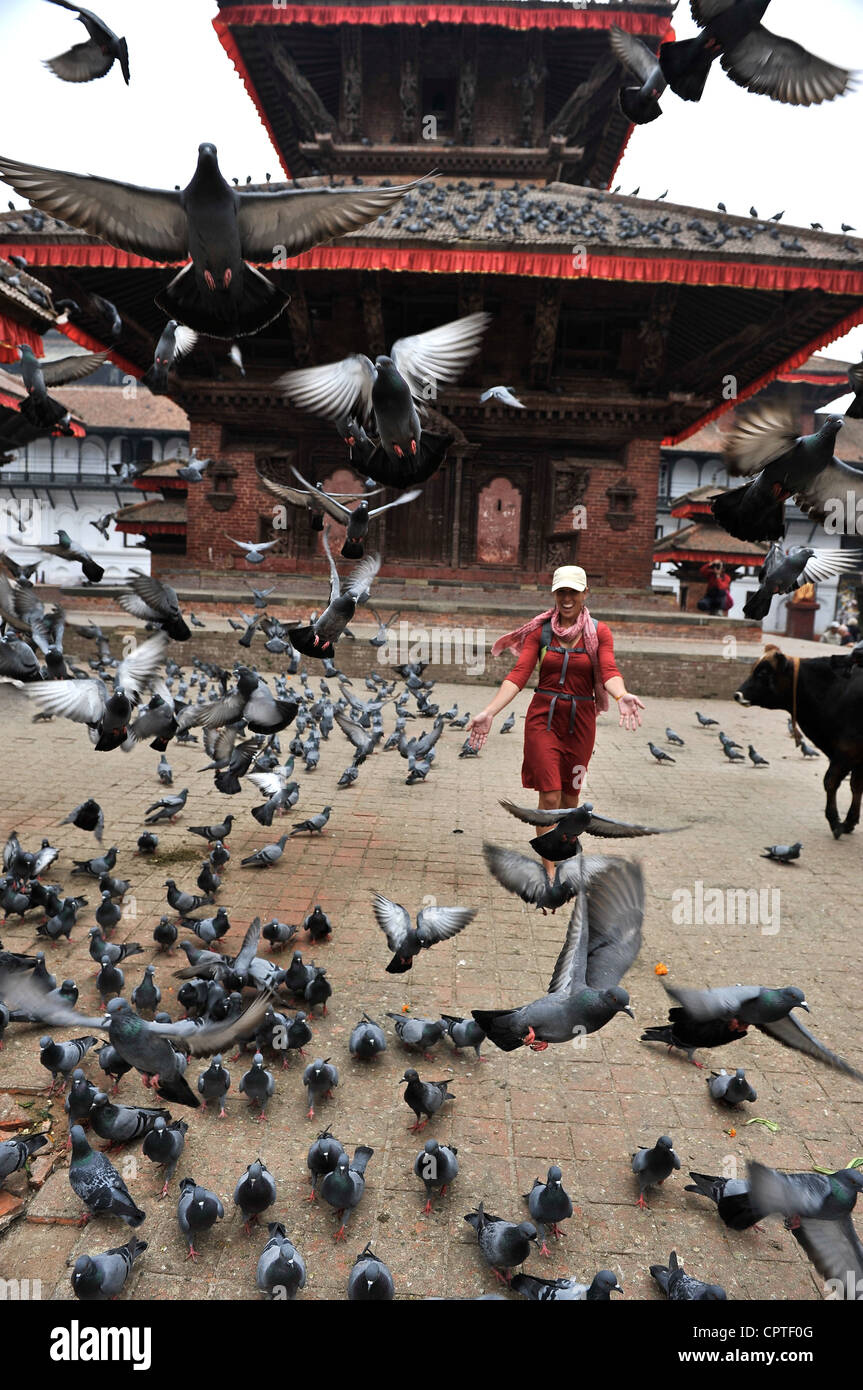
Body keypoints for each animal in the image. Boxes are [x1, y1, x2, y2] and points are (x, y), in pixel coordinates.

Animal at [733, 647, 861, 834]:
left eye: (763, 672)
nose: (737, 694)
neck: (836, 690)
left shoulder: (848, 749)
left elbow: (830, 781)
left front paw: (835, 821)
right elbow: (856, 786)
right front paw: (849, 822)